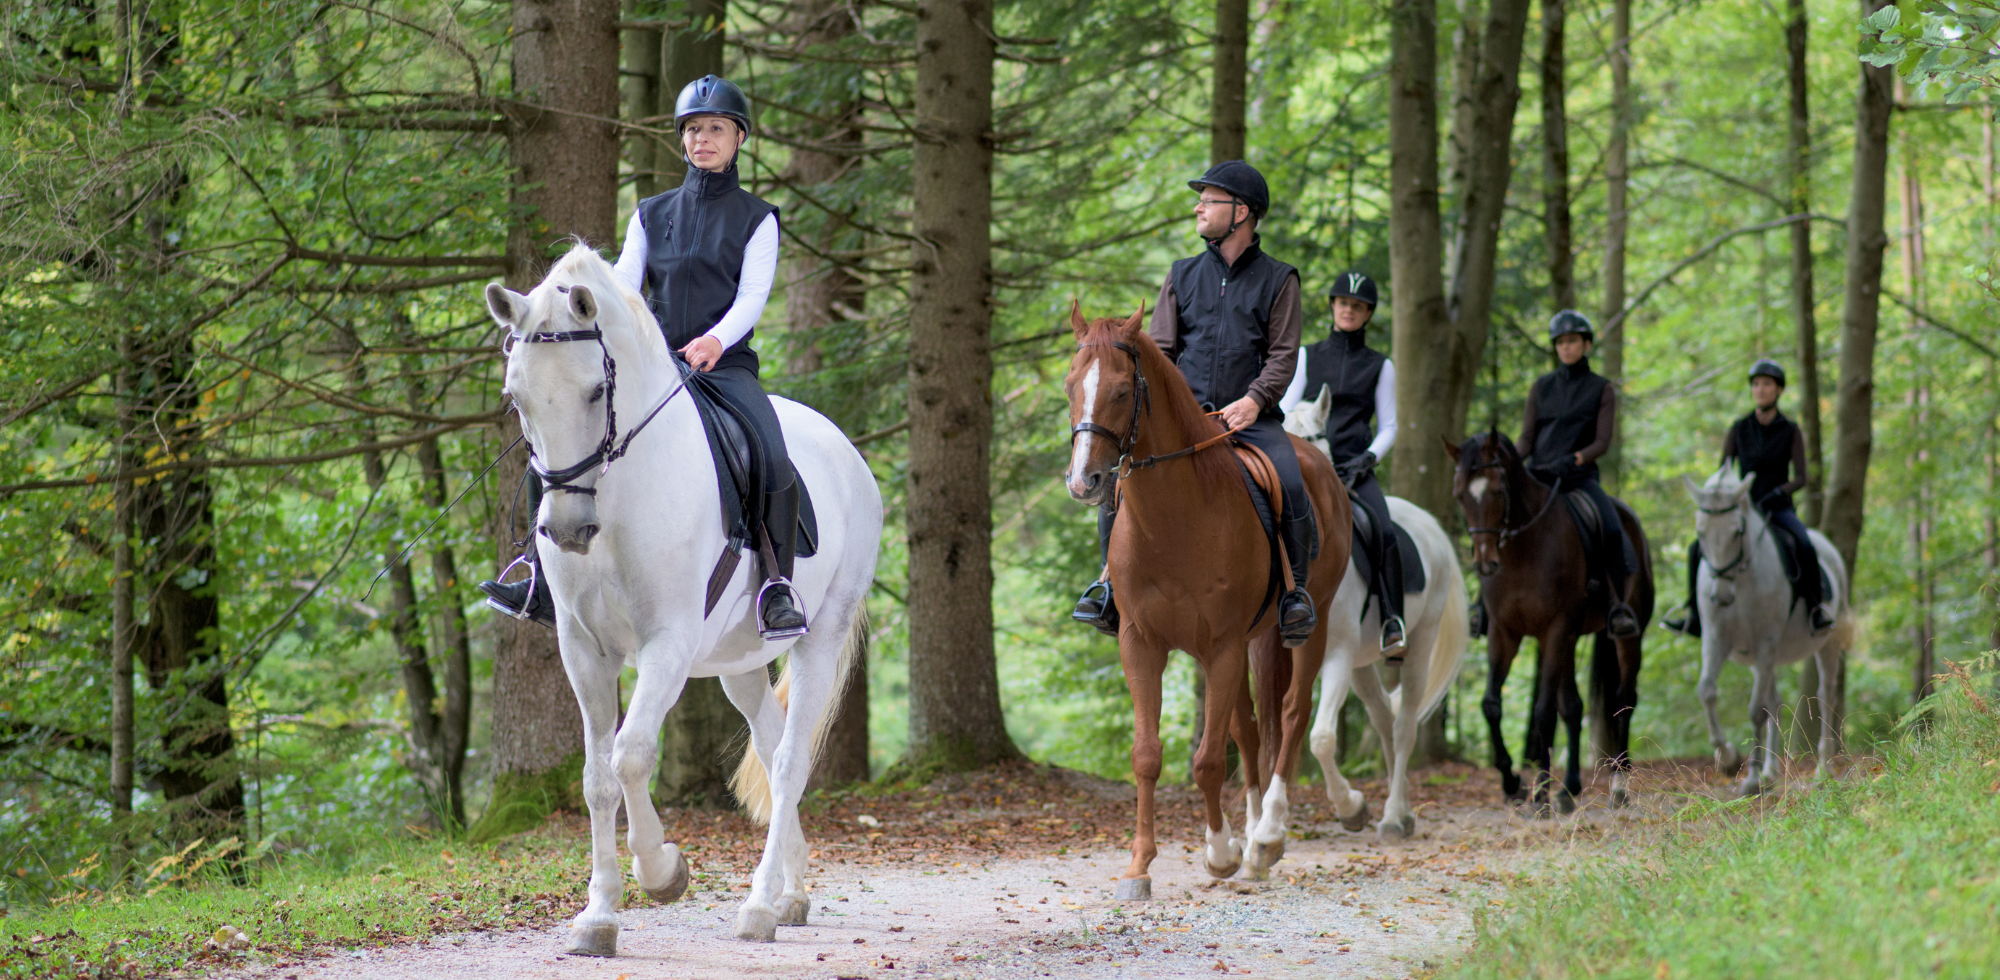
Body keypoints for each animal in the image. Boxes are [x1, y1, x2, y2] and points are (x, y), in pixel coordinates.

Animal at [484, 244, 881, 954]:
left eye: (595, 390)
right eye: (516, 396)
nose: (567, 530)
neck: (617, 495)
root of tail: (848, 454)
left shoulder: (664, 645)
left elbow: (632, 756)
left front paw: (663, 870)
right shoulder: (583, 650)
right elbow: (596, 777)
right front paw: (599, 916)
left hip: (822, 635)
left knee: (789, 760)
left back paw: (758, 906)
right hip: (738, 663)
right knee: (772, 744)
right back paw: (791, 894)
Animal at [1062, 303, 1351, 896]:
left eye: (1122, 391)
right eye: (1071, 386)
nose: (1084, 482)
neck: (1174, 518)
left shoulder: (1220, 647)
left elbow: (1209, 761)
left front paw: (1221, 853)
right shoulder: (1142, 643)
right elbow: (1148, 756)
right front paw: (1139, 866)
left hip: (1307, 626)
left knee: (1291, 713)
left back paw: (1267, 837)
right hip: (1249, 642)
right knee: (1250, 726)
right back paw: (1253, 835)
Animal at [1280, 390, 1470, 841]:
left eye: (1313, 439)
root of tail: (1430, 526)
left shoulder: (1336, 656)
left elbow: (1322, 738)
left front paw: (1350, 807)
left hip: (1417, 645)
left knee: (1403, 727)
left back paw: (1393, 816)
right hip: (1361, 663)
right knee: (1384, 719)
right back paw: (1403, 810)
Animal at [1443, 431, 1652, 814]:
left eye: (1497, 490)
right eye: (1460, 495)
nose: (1485, 563)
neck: (1522, 551)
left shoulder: (1553, 630)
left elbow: (1543, 712)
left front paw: (1539, 794)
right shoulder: (1504, 633)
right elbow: (1491, 705)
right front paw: (1513, 783)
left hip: (1627, 636)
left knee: (1624, 700)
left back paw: (1619, 786)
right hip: (1570, 640)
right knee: (1573, 707)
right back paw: (1569, 790)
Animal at [1683, 468, 1852, 795]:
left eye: (1737, 532)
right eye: (1700, 533)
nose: (1721, 597)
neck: (1741, 580)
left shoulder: (1765, 643)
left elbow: (1755, 710)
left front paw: (1749, 777)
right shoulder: (1716, 641)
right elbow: (1706, 691)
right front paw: (1728, 758)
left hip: (1823, 643)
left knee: (1825, 694)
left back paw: (1822, 768)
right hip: (1764, 658)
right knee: (1775, 700)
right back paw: (1771, 773)